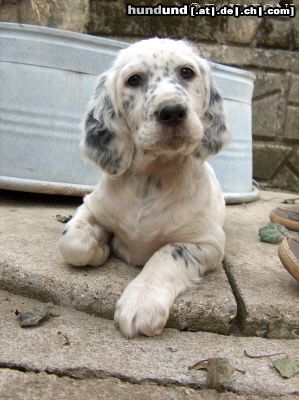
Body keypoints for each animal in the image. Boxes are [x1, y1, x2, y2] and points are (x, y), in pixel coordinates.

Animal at [59, 36, 230, 338]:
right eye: (134, 79)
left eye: (186, 72)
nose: (172, 111)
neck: (153, 178)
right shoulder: (92, 206)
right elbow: (72, 241)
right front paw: (98, 247)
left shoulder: (207, 242)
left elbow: (167, 254)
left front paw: (142, 302)